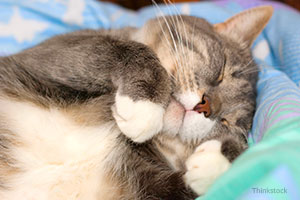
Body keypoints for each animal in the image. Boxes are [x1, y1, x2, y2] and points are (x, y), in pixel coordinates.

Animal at [0, 4, 274, 200]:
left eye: (226, 122)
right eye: (222, 72)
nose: (206, 107)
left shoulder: (146, 184)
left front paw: (223, 161)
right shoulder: (48, 55)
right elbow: (116, 48)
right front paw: (145, 107)